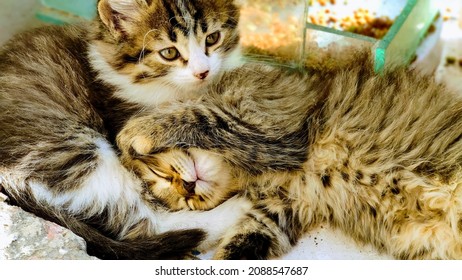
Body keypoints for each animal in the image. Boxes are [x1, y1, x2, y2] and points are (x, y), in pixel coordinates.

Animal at [0, 0, 249, 260]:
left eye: (212, 38)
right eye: (169, 53)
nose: (203, 72)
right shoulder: (127, 121)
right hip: (72, 152)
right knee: (145, 224)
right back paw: (235, 210)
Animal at [116, 53, 462, 260]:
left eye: (161, 175)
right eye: (187, 204)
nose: (187, 189)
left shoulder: (272, 125)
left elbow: (202, 114)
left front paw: (136, 132)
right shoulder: (277, 210)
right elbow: (239, 246)